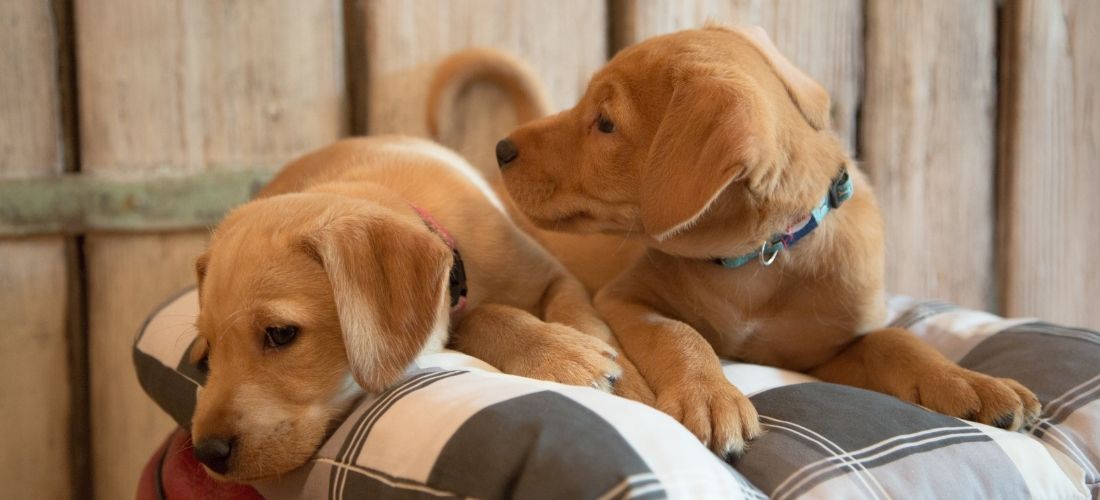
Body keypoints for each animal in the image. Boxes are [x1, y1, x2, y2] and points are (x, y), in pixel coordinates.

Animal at [184, 136, 624, 481]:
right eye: (212, 345)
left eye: (280, 334)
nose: (206, 453)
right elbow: (484, 316)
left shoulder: (554, 276)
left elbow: (574, 311)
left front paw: (586, 362)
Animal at [488, 26, 1038, 457]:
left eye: (605, 123)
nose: (501, 147)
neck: (756, 261)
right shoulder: (623, 299)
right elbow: (680, 334)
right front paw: (710, 396)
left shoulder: (823, 352)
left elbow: (896, 340)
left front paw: (971, 383)